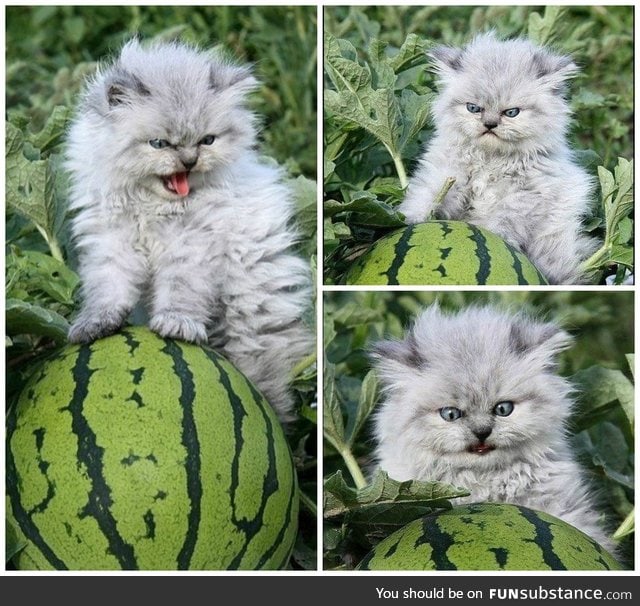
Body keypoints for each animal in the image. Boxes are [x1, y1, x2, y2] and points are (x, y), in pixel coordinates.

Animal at [400, 34, 600, 286]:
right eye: (473, 108)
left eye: (511, 112)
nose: (490, 124)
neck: (490, 161)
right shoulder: (446, 175)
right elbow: (426, 196)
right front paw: (410, 218)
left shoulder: (523, 199)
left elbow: (499, 224)